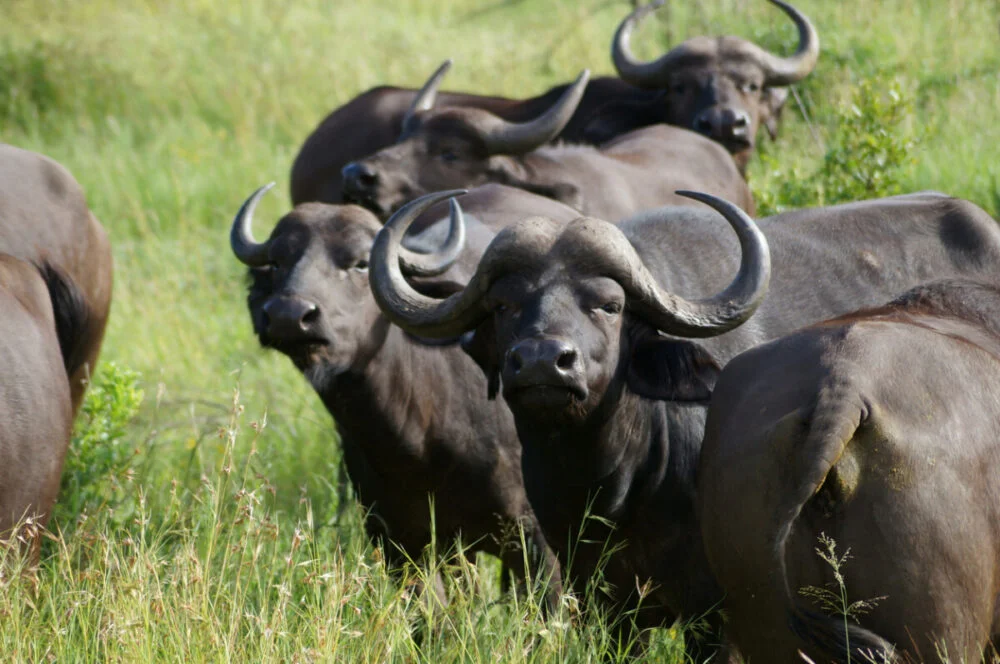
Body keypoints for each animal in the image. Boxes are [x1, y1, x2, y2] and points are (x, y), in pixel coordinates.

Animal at [230, 184, 580, 605]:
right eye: (278, 263)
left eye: (359, 263)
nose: (288, 314)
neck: (417, 437)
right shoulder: (401, 544)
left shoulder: (538, 544)